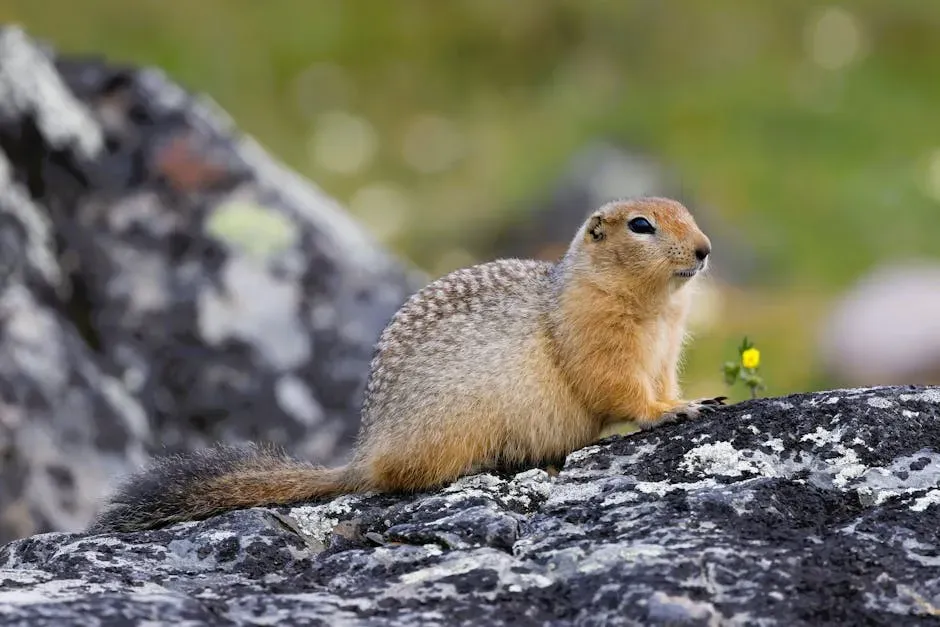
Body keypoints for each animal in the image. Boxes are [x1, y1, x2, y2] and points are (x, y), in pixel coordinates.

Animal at [90, 196, 725, 533]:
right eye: (640, 225)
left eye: (687, 211)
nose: (705, 249)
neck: (655, 308)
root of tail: (367, 452)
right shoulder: (597, 337)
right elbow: (615, 386)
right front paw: (668, 413)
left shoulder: (665, 350)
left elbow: (662, 381)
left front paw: (690, 398)